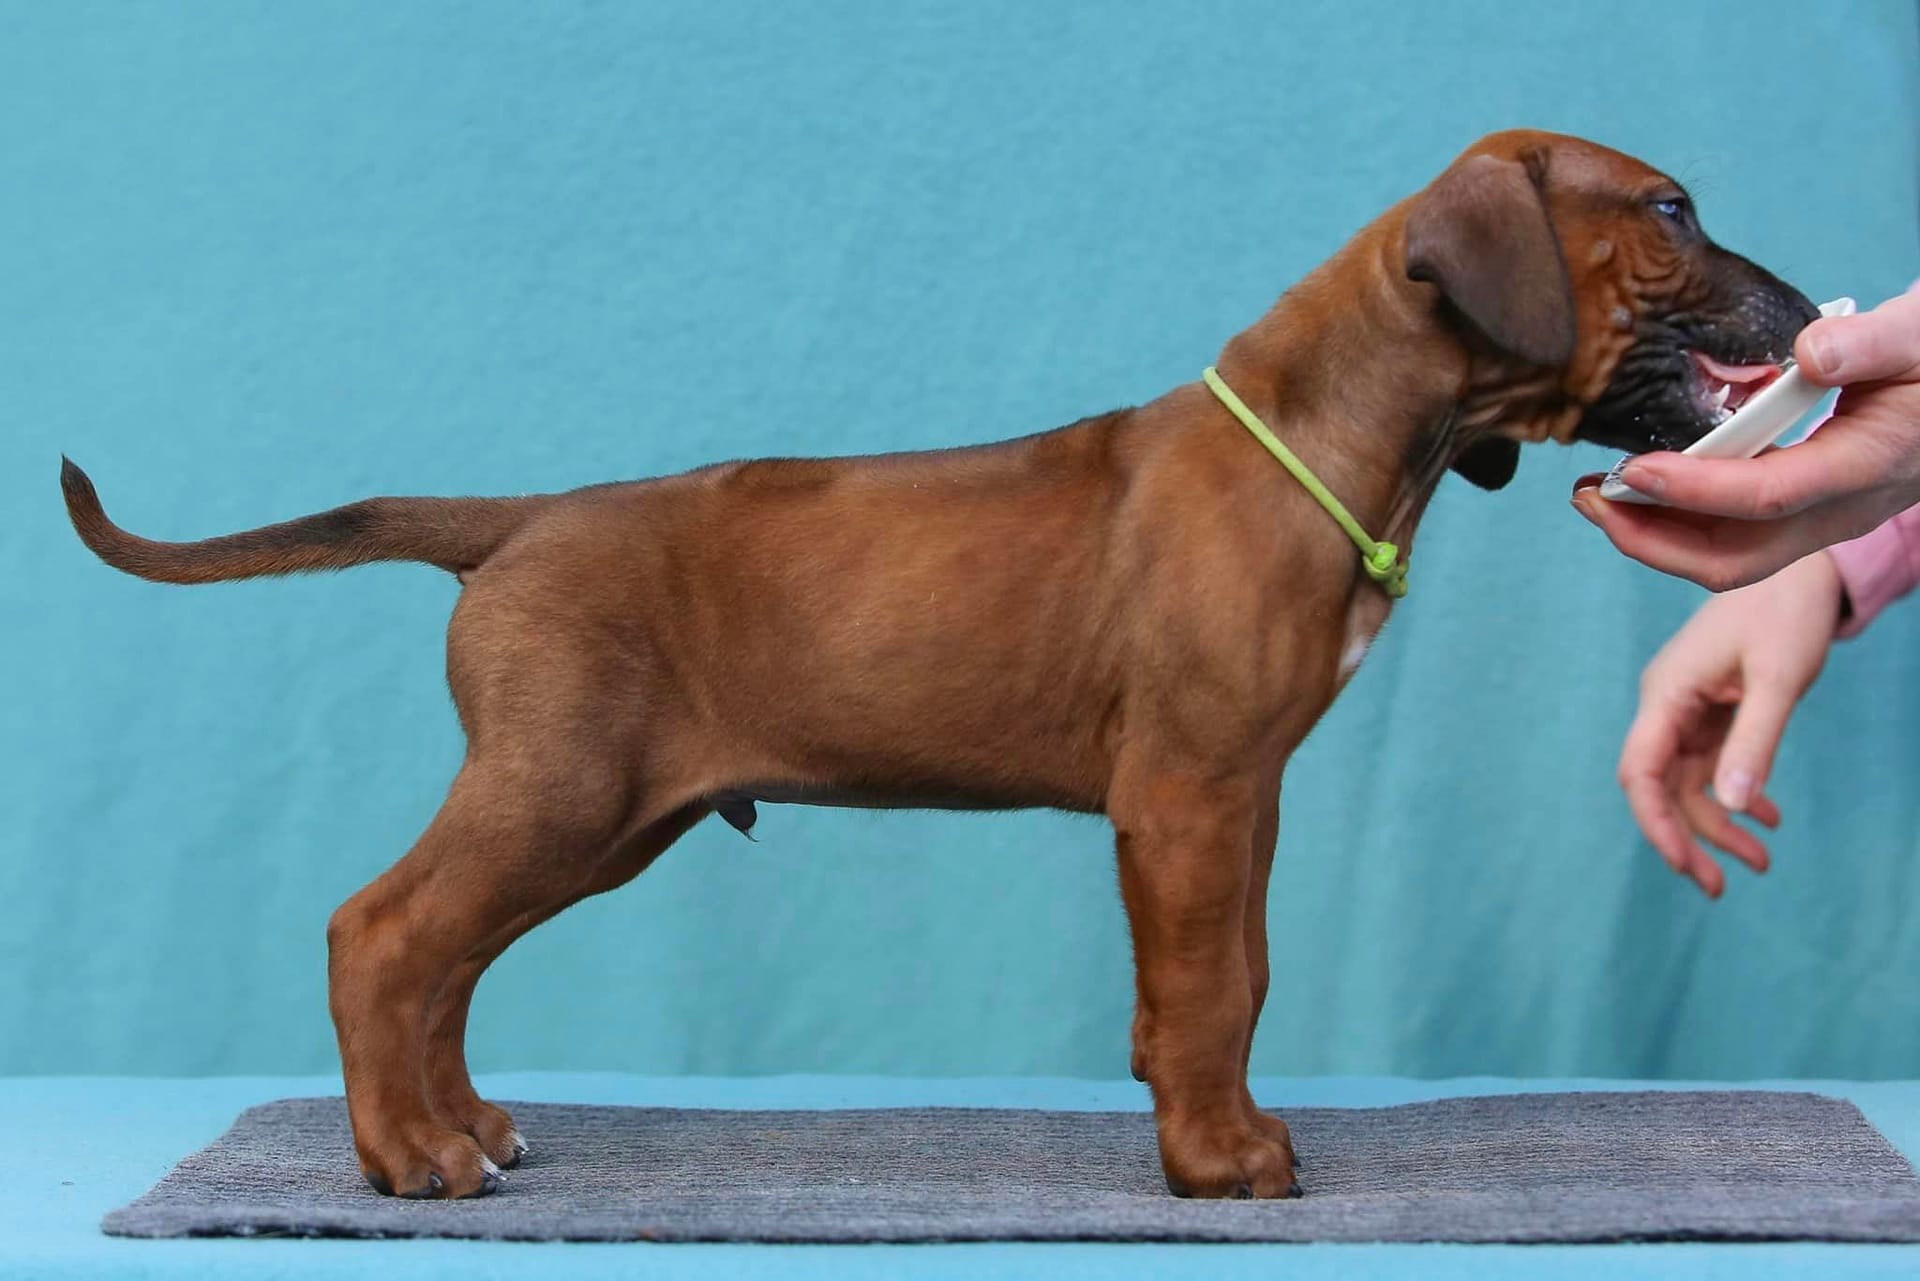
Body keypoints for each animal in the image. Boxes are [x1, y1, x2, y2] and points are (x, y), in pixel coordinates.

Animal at [62, 130, 1816, 1200]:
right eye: (1671, 212)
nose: (1808, 307)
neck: (1329, 432)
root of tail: (522, 523)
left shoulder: (1237, 796)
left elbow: (1232, 973)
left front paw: (1208, 1118)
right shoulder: (1188, 791)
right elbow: (1209, 982)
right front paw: (1216, 1157)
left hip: (605, 814)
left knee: (443, 955)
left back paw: (460, 1127)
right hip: (563, 785)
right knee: (385, 933)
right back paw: (409, 1156)